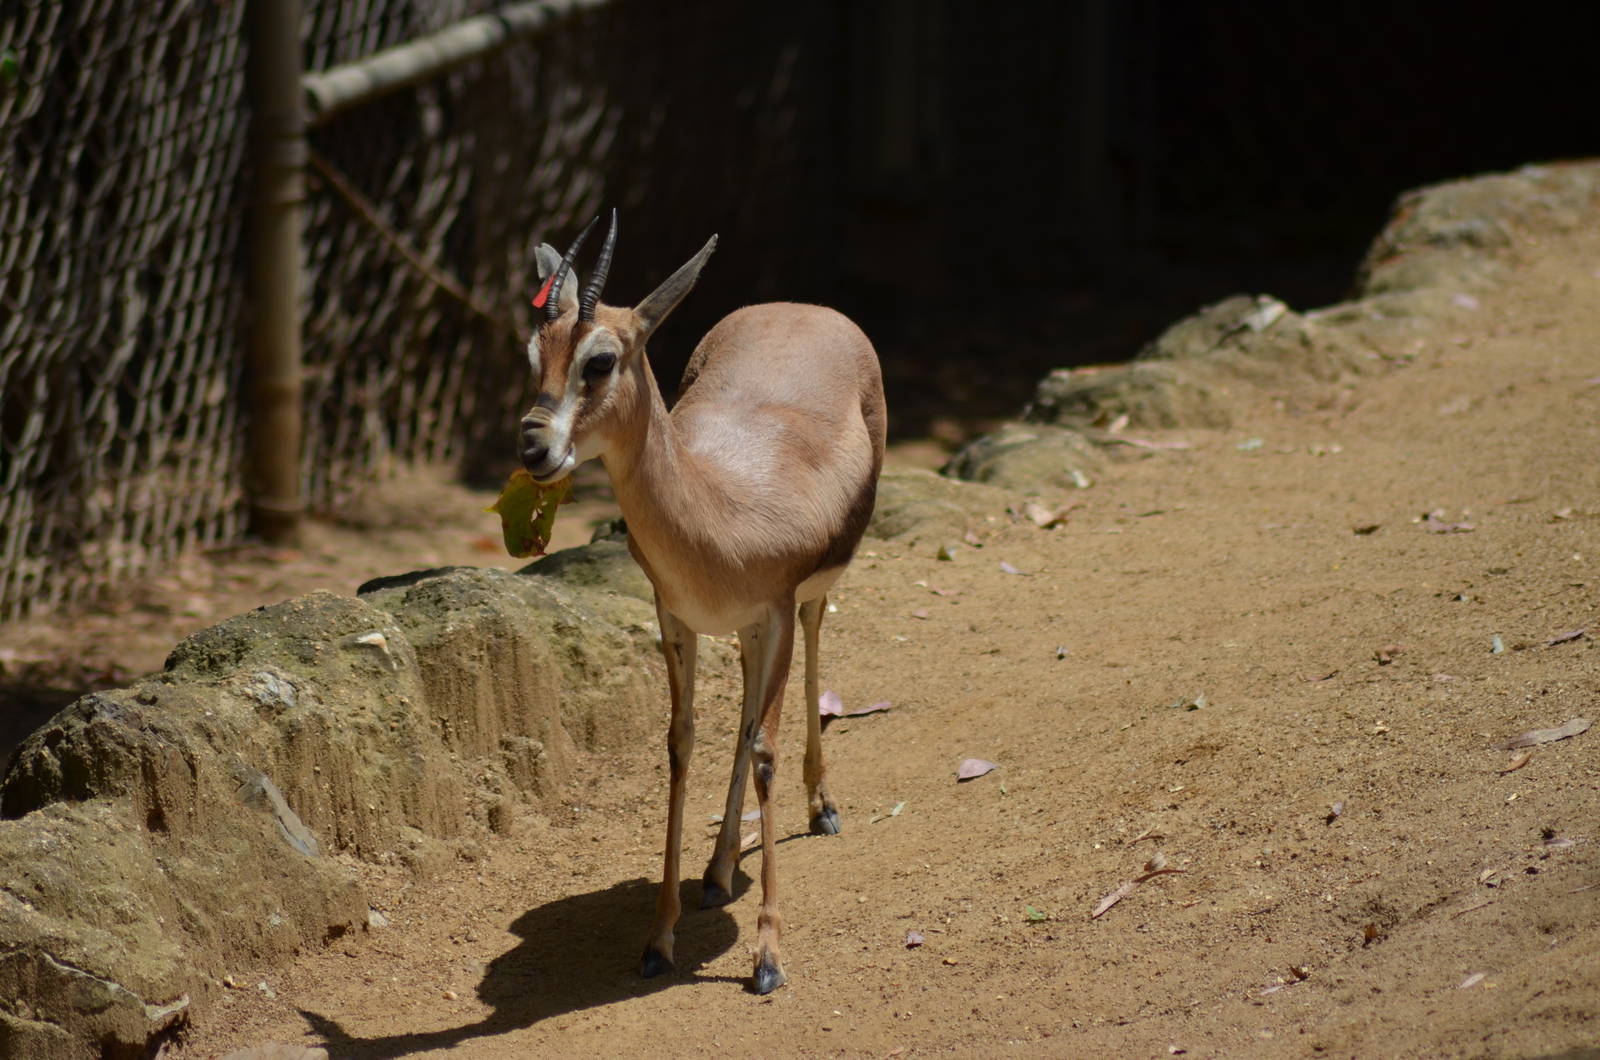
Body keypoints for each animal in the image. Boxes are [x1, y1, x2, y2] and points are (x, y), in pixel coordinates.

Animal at [518, 212, 886, 994]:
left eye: (601, 360)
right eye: (535, 352)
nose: (534, 448)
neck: (719, 508)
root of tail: (801, 306)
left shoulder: (775, 609)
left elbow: (765, 747)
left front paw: (768, 956)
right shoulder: (677, 617)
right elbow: (683, 744)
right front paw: (659, 940)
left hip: (802, 605)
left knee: (809, 649)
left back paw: (823, 808)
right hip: (743, 632)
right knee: (744, 707)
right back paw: (717, 872)